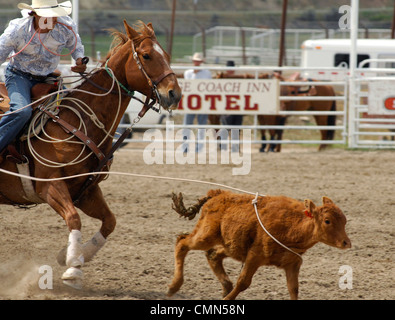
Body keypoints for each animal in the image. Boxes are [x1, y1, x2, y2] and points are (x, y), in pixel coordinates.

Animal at [0, 20, 183, 290]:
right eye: (147, 55)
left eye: (168, 56)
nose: (174, 94)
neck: (79, 121)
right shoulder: (49, 185)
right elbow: (74, 219)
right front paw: (73, 268)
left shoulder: (86, 190)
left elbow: (110, 221)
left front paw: (72, 255)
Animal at [167, 190, 352, 300]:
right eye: (327, 221)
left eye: (344, 221)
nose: (346, 243)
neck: (293, 226)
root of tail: (218, 194)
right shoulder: (254, 257)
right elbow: (243, 282)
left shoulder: (292, 264)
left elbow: (293, 288)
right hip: (206, 236)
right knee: (182, 243)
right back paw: (174, 286)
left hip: (230, 245)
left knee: (212, 255)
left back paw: (226, 286)